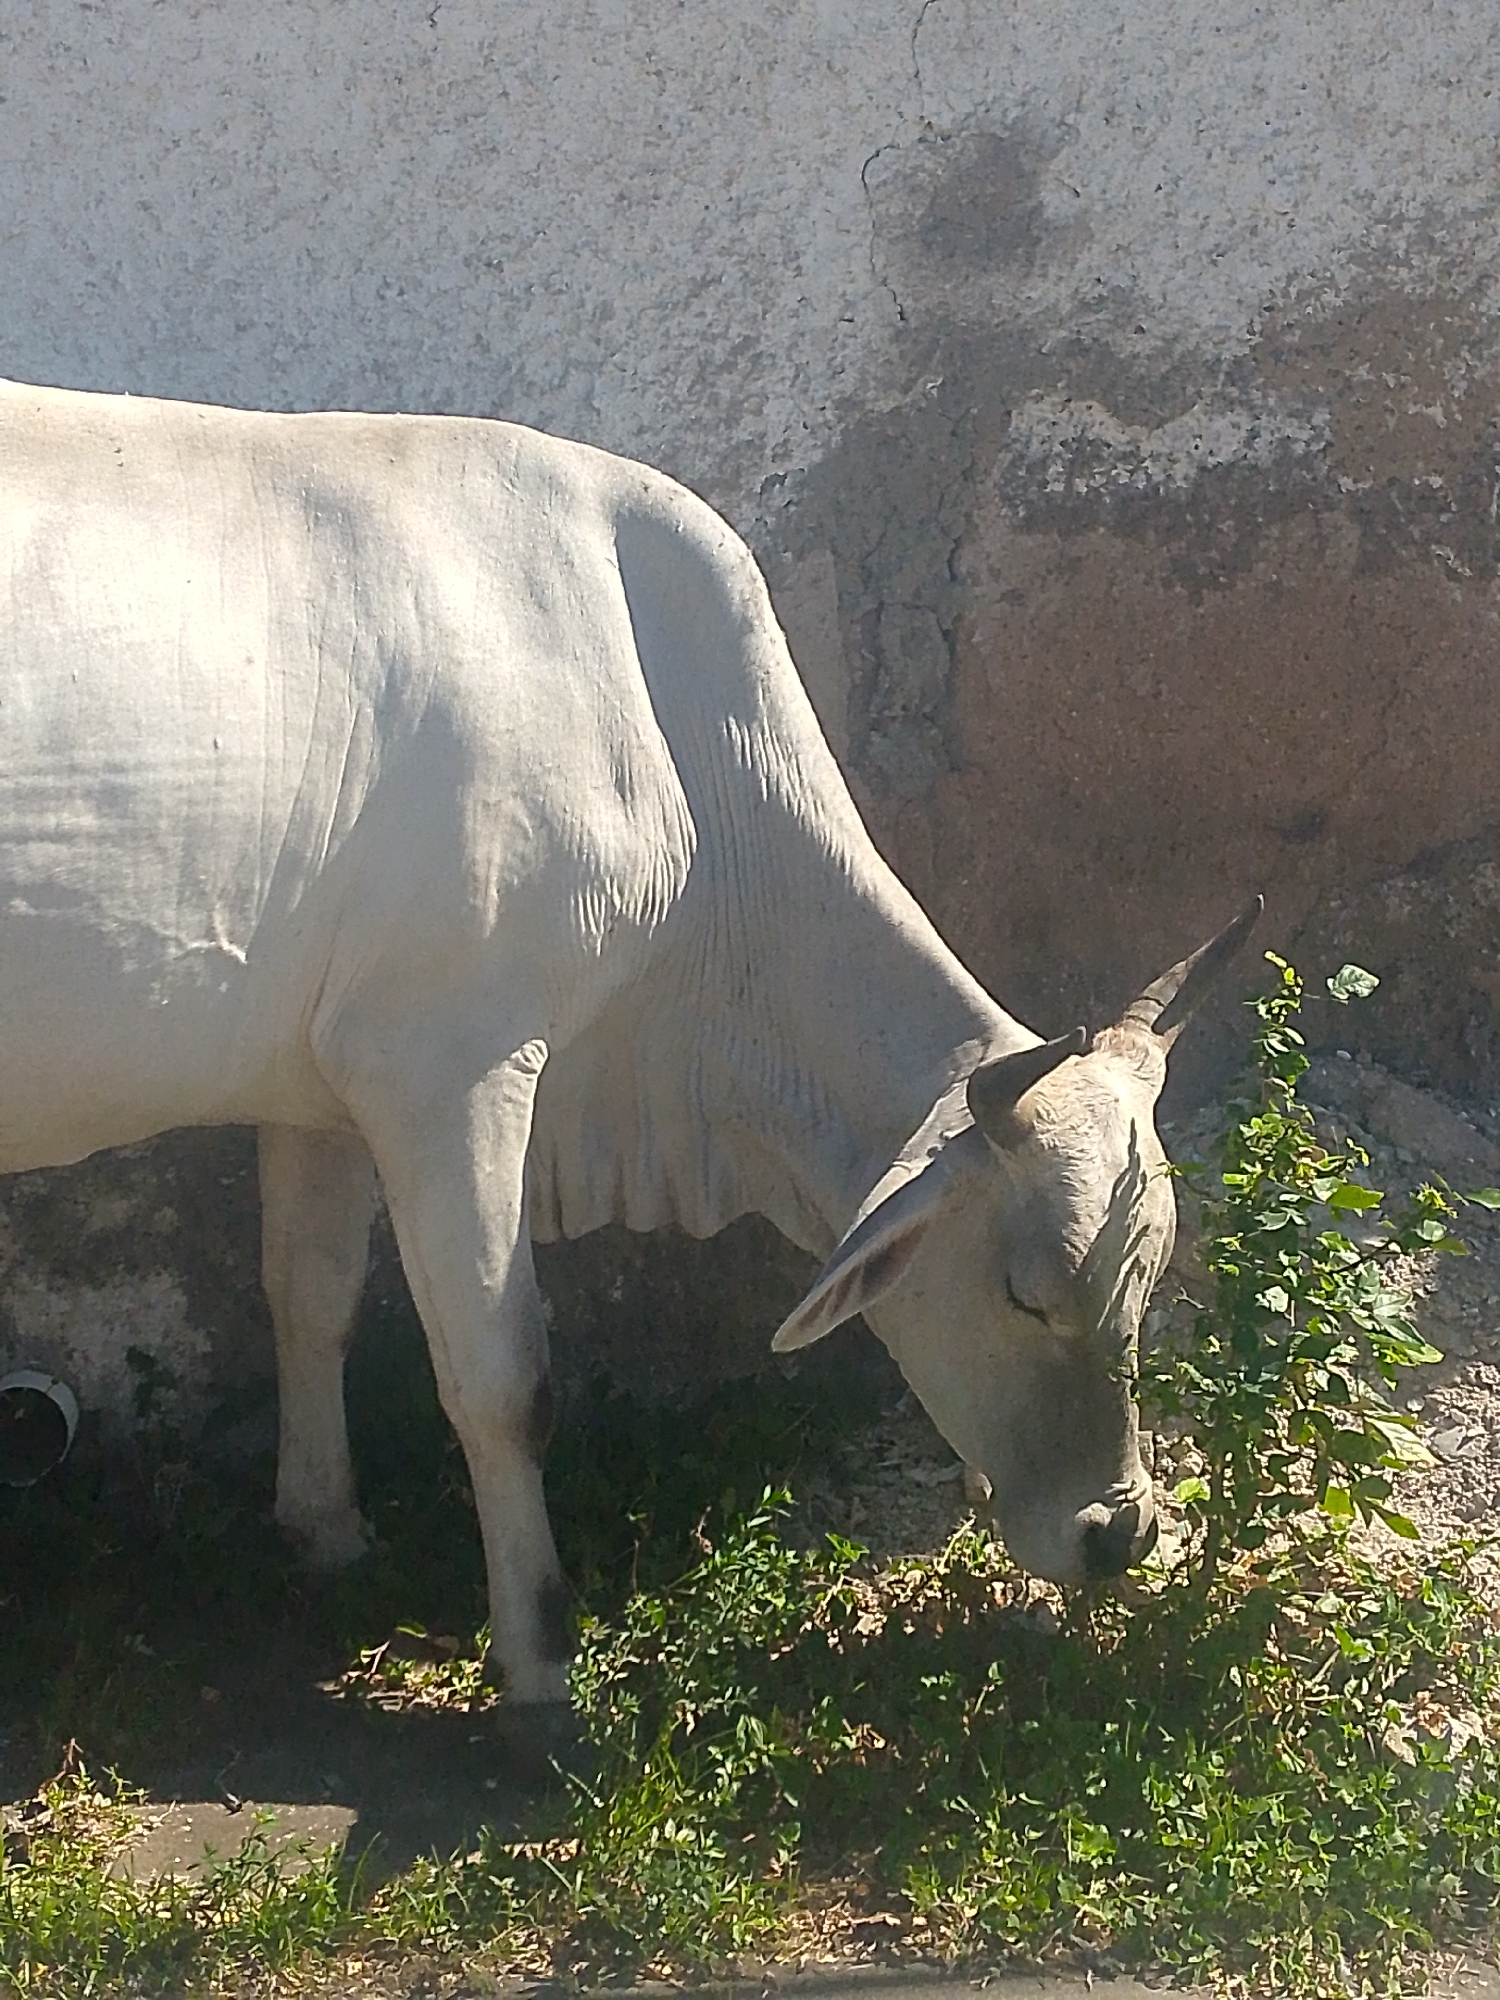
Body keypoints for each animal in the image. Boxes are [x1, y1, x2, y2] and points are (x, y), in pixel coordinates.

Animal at [0, 377, 1256, 1724]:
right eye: (1027, 1291)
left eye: (1151, 1277)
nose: (1118, 1533)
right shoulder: (453, 1059)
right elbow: (503, 1377)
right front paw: (541, 1661)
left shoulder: (319, 1080)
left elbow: (311, 1295)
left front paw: (327, 1531)